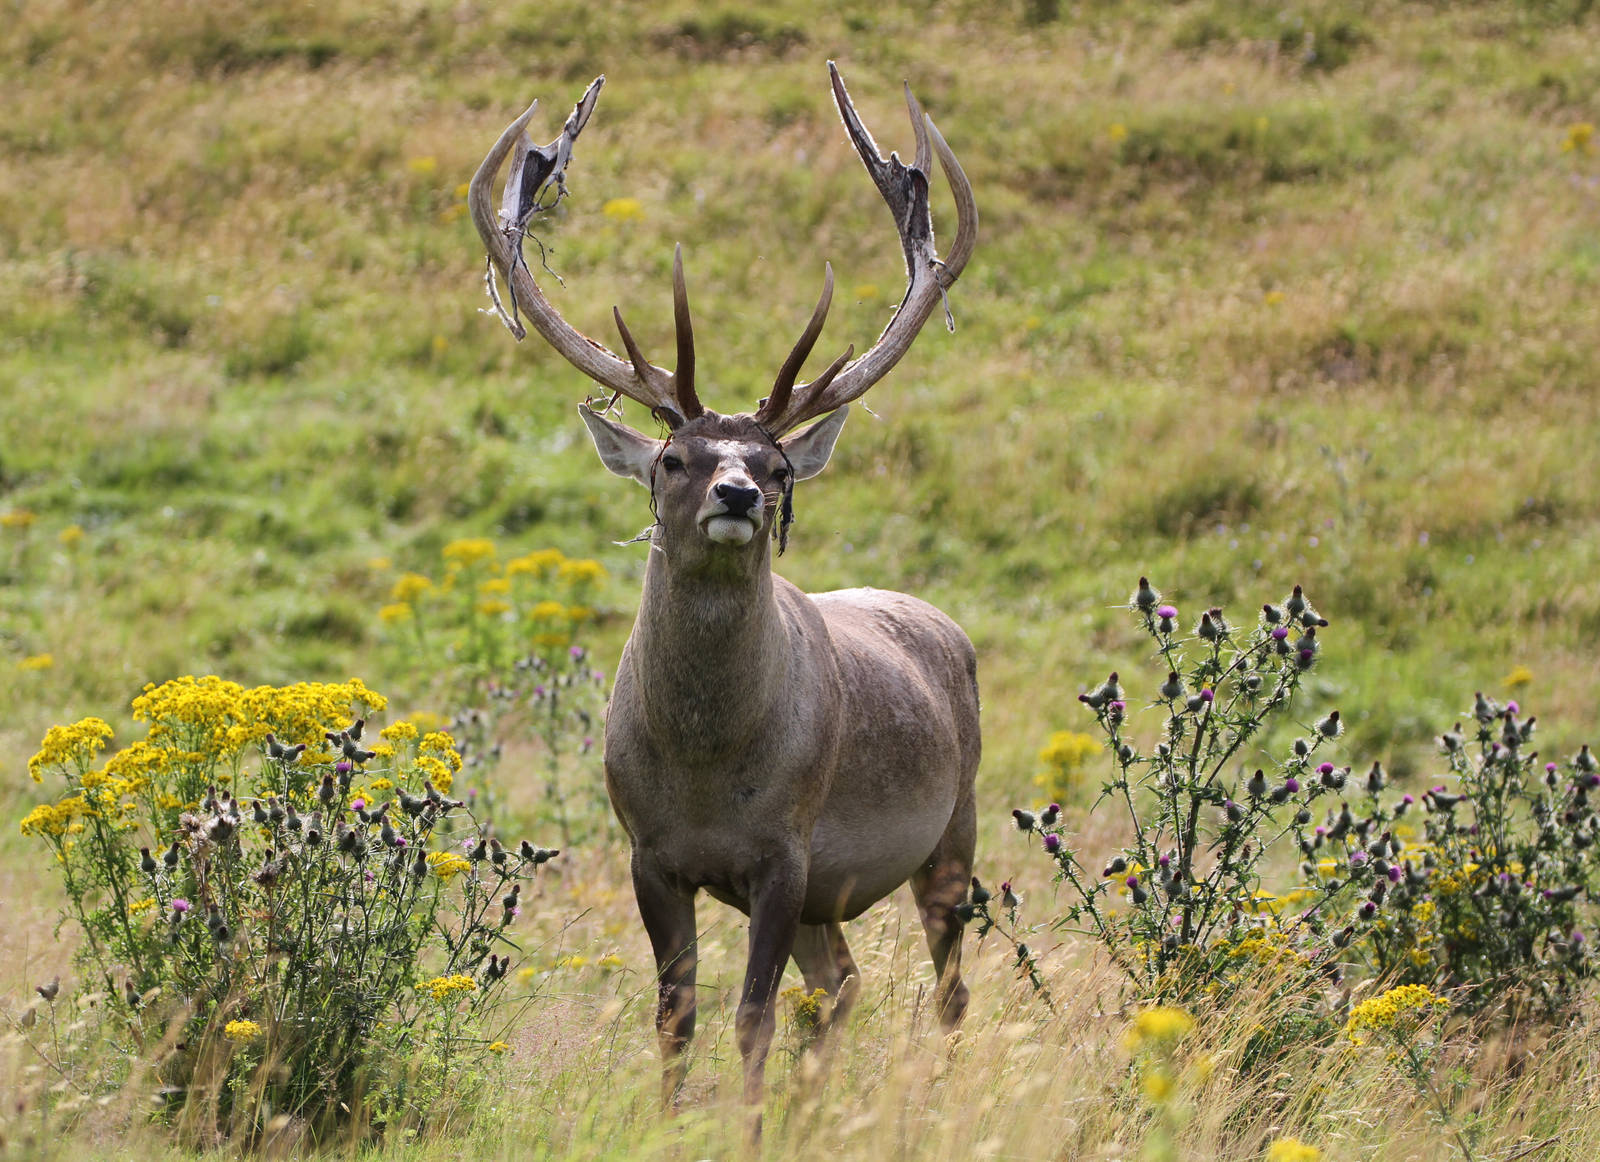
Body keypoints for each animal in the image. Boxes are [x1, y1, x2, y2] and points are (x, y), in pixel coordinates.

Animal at [467, 63, 979, 1112]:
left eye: (778, 465)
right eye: (674, 457)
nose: (738, 491)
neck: (706, 771)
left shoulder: (786, 851)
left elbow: (751, 1018)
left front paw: (744, 1124)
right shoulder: (648, 853)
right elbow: (676, 1019)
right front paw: (671, 1123)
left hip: (955, 828)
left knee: (946, 989)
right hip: (840, 892)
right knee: (844, 987)